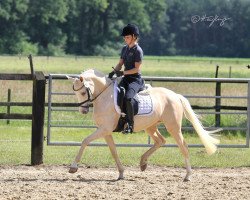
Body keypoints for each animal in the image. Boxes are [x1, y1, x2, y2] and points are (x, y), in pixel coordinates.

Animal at [67, 69, 220, 181]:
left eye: (83, 92)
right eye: (75, 92)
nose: (83, 111)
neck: (105, 96)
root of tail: (175, 95)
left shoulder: (104, 129)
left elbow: (85, 141)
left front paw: (73, 167)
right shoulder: (106, 131)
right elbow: (113, 151)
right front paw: (121, 173)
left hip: (173, 127)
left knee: (183, 146)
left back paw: (187, 176)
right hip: (150, 126)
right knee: (160, 141)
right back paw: (143, 162)